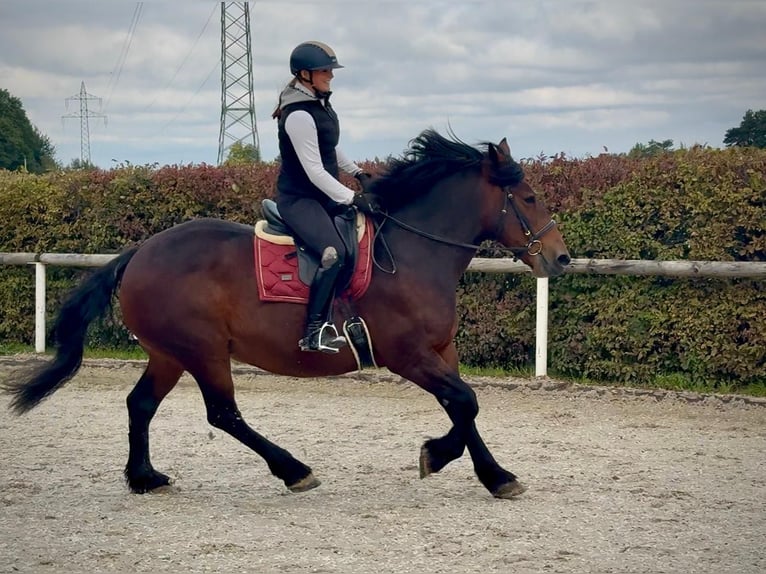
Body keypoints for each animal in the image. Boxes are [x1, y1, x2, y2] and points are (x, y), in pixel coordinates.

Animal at [4, 129, 570, 499]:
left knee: (140, 404)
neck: (412, 253)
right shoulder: (408, 355)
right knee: (223, 413)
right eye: (528, 197)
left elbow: (463, 408)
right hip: (203, 351)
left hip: (170, 353)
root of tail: (141, 251)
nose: (560, 258)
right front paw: (452, 460)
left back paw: (145, 478)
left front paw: (486, 472)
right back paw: (293, 470)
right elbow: (465, 402)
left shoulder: (439, 350)